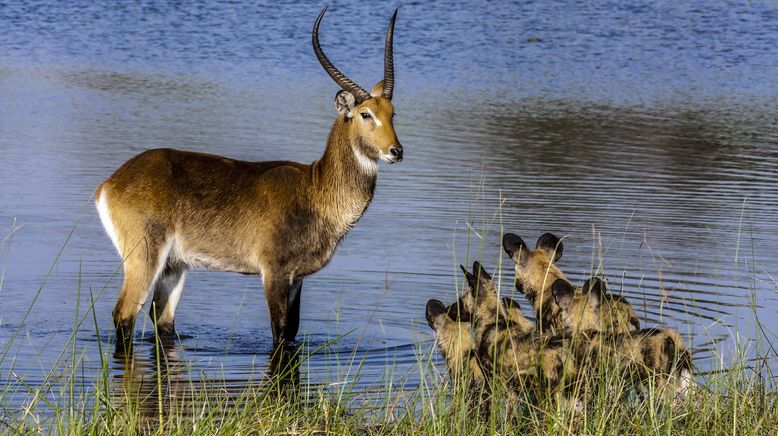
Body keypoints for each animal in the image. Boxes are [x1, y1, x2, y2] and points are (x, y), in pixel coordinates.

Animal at [94, 7, 404, 348]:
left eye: (392, 113)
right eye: (366, 114)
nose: (396, 151)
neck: (315, 189)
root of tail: (110, 182)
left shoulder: (297, 279)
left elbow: (291, 331)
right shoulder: (275, 273)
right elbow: (279, 334)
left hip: (174, 266)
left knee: (162, 320)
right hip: (145, 258)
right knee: (124, 316)